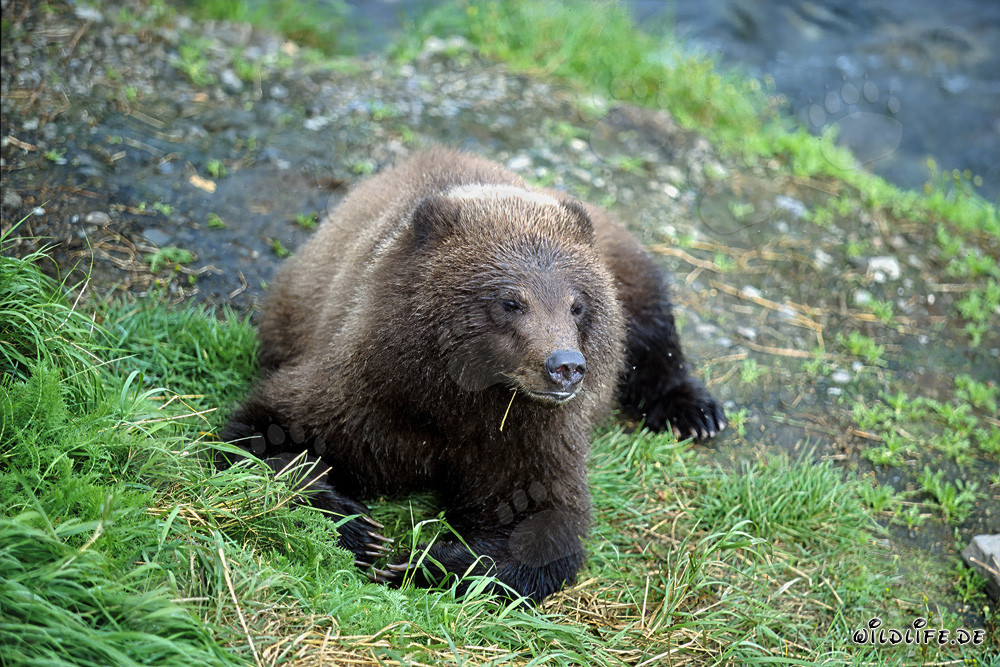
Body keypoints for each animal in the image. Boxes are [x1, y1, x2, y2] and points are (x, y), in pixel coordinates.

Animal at [221, 148, 726, 604]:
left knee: (653, 319)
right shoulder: (362, 396)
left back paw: (696, 413)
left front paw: (423, 562)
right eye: (510, 301)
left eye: (576, 304)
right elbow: (262, 433)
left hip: (622, 261)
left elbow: (543, 525)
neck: (456, 402)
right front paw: (362, 530)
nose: (565, 367)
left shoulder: (526, 436)